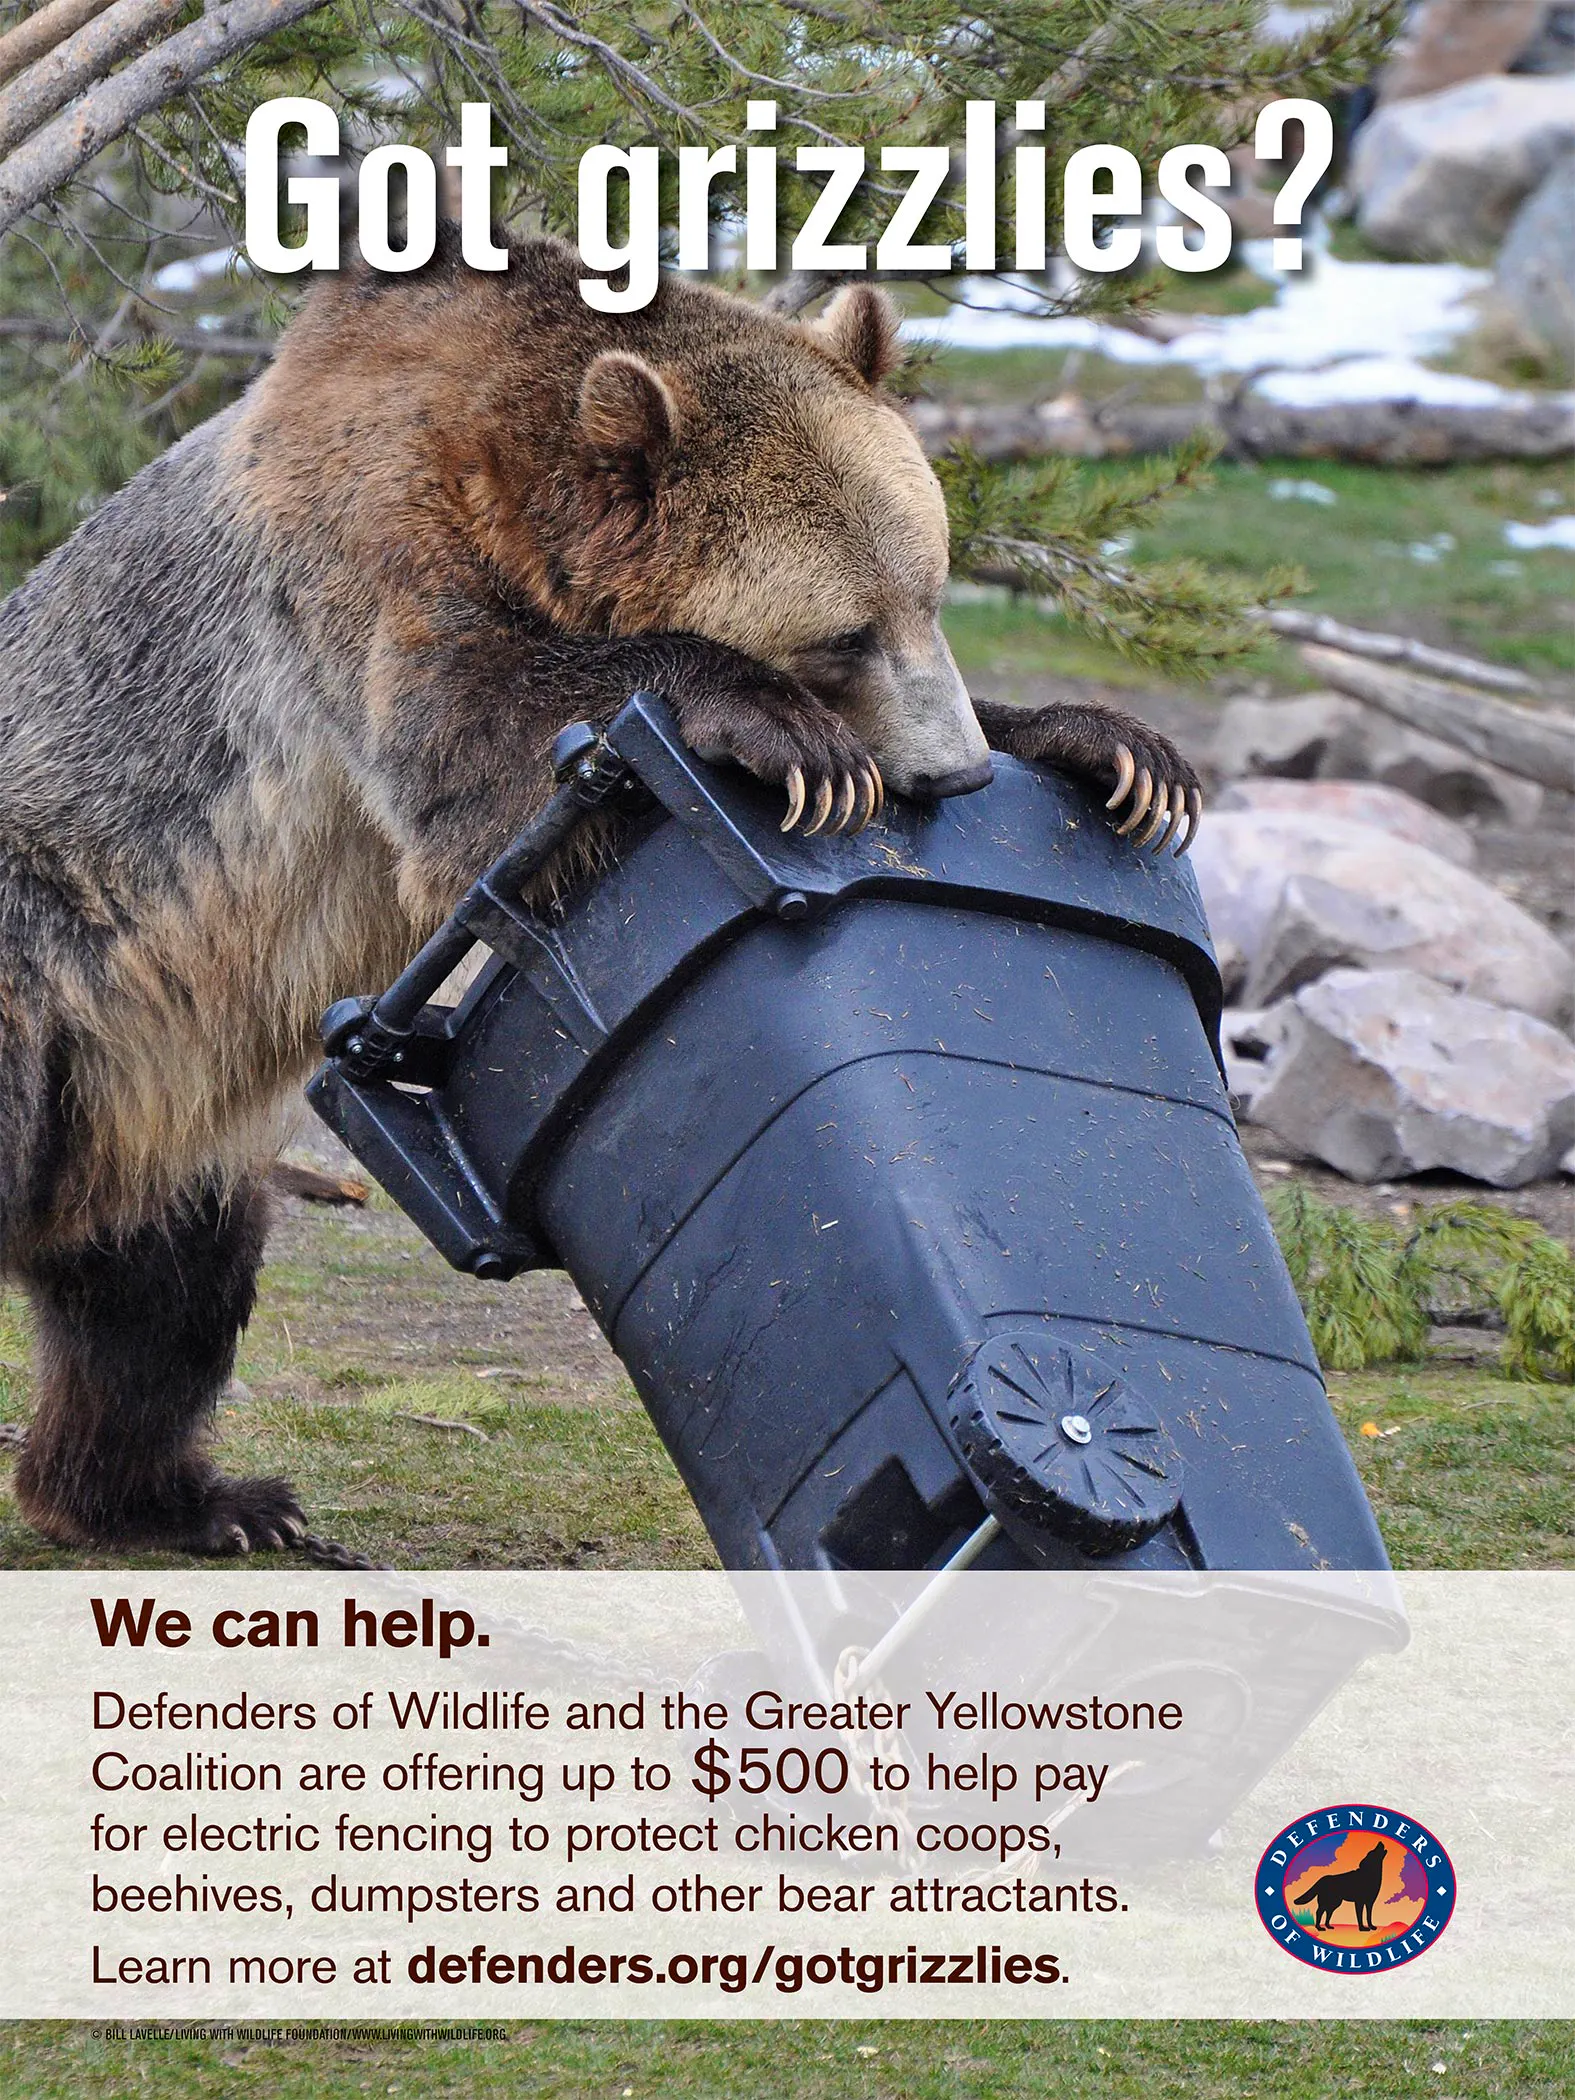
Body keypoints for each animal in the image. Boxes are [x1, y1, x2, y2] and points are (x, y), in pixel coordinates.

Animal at [0, 233, 1200, 1555]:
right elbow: (473, 752)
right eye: (842, 634)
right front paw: (786, 736)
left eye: (931, 591)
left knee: (164, 1291)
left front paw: (1115, 750)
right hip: (38, 958)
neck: (514, 486)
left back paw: (188, 1502)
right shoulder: (362, 558)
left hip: (144, 1093)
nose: (955, 773)